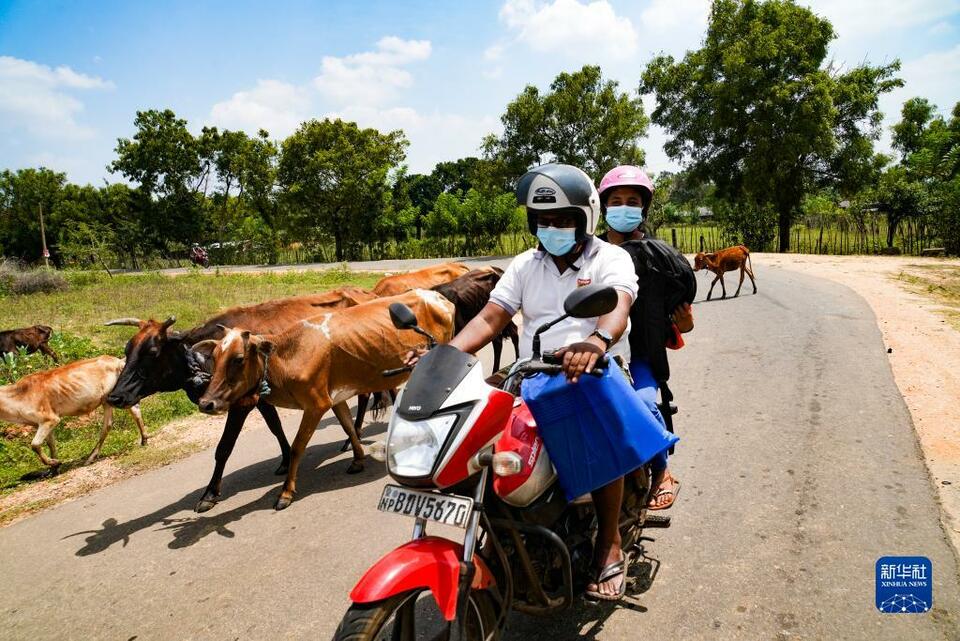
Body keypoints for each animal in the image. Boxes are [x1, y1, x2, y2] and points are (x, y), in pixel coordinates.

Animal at [0, 356, 147, 470]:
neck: (18, 395)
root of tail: (118, 361)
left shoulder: (50, 419)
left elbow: (35, 445)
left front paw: (54, 462)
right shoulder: (41, 424)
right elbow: (51, 445)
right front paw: (54, 468)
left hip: (109, 398)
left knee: (109, 424)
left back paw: (90, 458)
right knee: (128, 415)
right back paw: (144, 440)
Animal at [105, 284, 376, 510]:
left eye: (152, 352)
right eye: (127, 350)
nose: (115, 397)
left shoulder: (239, 404)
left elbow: (224, 447)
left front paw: (209, 493)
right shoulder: (261, 399)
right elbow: (275, 427)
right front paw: (285, 461)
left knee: (365, 396)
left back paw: (353, 438)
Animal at [196, 288, 458, 508]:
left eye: (238, 358)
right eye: (214, 357)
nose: (206, 403)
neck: (287, 355)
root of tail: (436, 295)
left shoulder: (315, 405)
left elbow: (297, 447)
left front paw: (286, 492)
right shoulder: (335, 398)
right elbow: (348, 427)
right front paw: (357, 460)